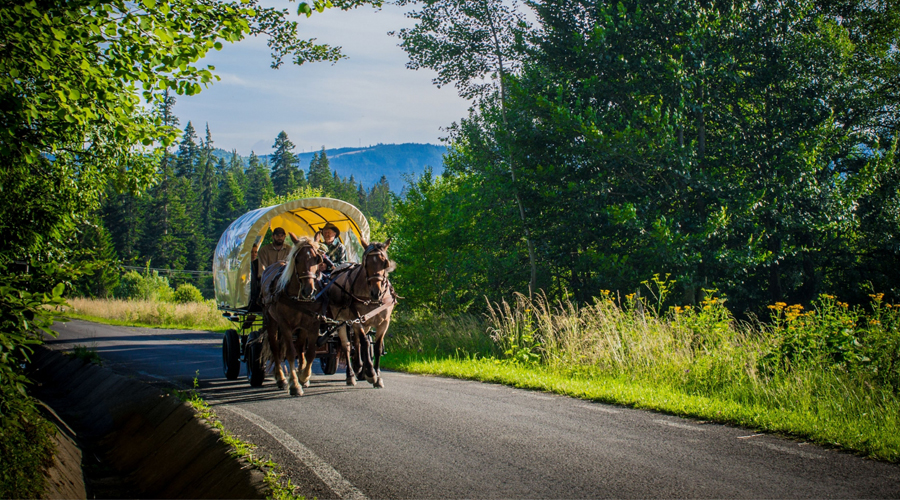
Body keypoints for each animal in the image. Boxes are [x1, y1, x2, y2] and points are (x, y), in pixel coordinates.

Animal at [260, 236, 324, 396]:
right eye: (297, 259)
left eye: (317, 259)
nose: (308, 290)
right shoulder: (285, 324)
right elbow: (289, 353)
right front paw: (295, 385)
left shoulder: (313, 323)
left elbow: (310, 352)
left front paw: (304, 376)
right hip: (271, 320)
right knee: (275, 348)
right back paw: (281, 379)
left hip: (301, 327)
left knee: (300, 346)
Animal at [324, 237, 394, 386]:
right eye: (365, 264)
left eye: (385, 263)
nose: (376, 293)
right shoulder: (357, 318)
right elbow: (365, 342)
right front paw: (370, 373)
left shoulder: (384, 322)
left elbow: (377, 346)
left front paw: (377, 375)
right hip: (342, 320)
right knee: (347, 345)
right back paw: (350, 375)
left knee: (355, 341)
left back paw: (359, 366)